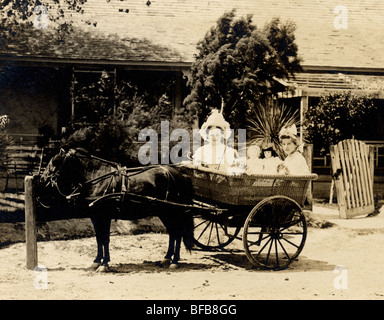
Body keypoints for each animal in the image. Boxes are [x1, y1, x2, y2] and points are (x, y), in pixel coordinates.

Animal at [38, 149, 195, 272]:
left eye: (54, 163)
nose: (41, 180)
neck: (97, 178)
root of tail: (180, 174)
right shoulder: (95, 217)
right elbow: (99, 239)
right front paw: (97, 261)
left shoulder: (104, 216)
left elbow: (105, 239)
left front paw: (105, 264)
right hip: (164, 213)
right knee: (173, 233)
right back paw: (167, 258)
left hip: (173, 212)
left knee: (177, 234)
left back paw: (174, 261)